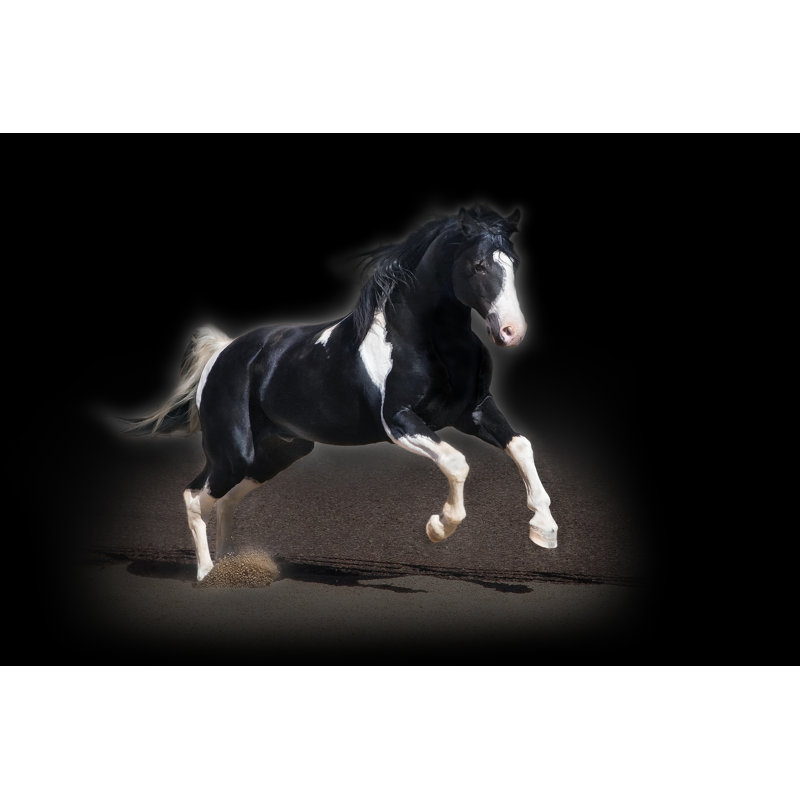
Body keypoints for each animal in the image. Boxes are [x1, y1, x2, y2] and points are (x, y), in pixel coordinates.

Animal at [123, 205, 558, 581]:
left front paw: (544, 531)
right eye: (478, 265)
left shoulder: (474, 411)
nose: (512, 332)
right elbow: (456, 462)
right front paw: (438, 528)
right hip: (233, 452)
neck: (429, 341)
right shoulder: (399, 422)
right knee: (195, 497)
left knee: (225, 500)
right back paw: (207, 575)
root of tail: (224, 352)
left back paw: (231, 567)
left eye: (514, 264)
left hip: (281, 450)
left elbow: (521, 446)